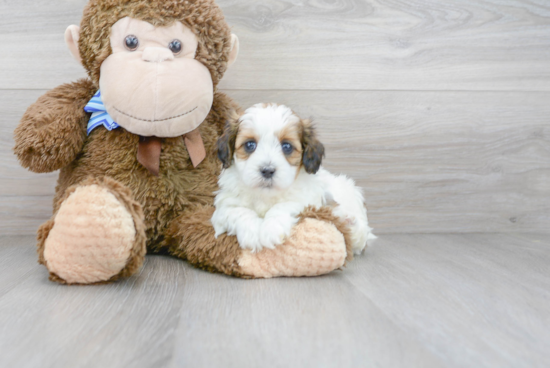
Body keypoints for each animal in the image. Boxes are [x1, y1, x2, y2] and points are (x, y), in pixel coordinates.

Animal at [210, 103, 376, 253]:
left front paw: (271, 230)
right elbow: (239, 211)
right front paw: (252, 233)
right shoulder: (224, 207)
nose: (267, 170)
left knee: (359, 239)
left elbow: (282, 206)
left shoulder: (307, 200)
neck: (265, 195)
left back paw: (348, 222)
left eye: (287, 146)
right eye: (250, 145)